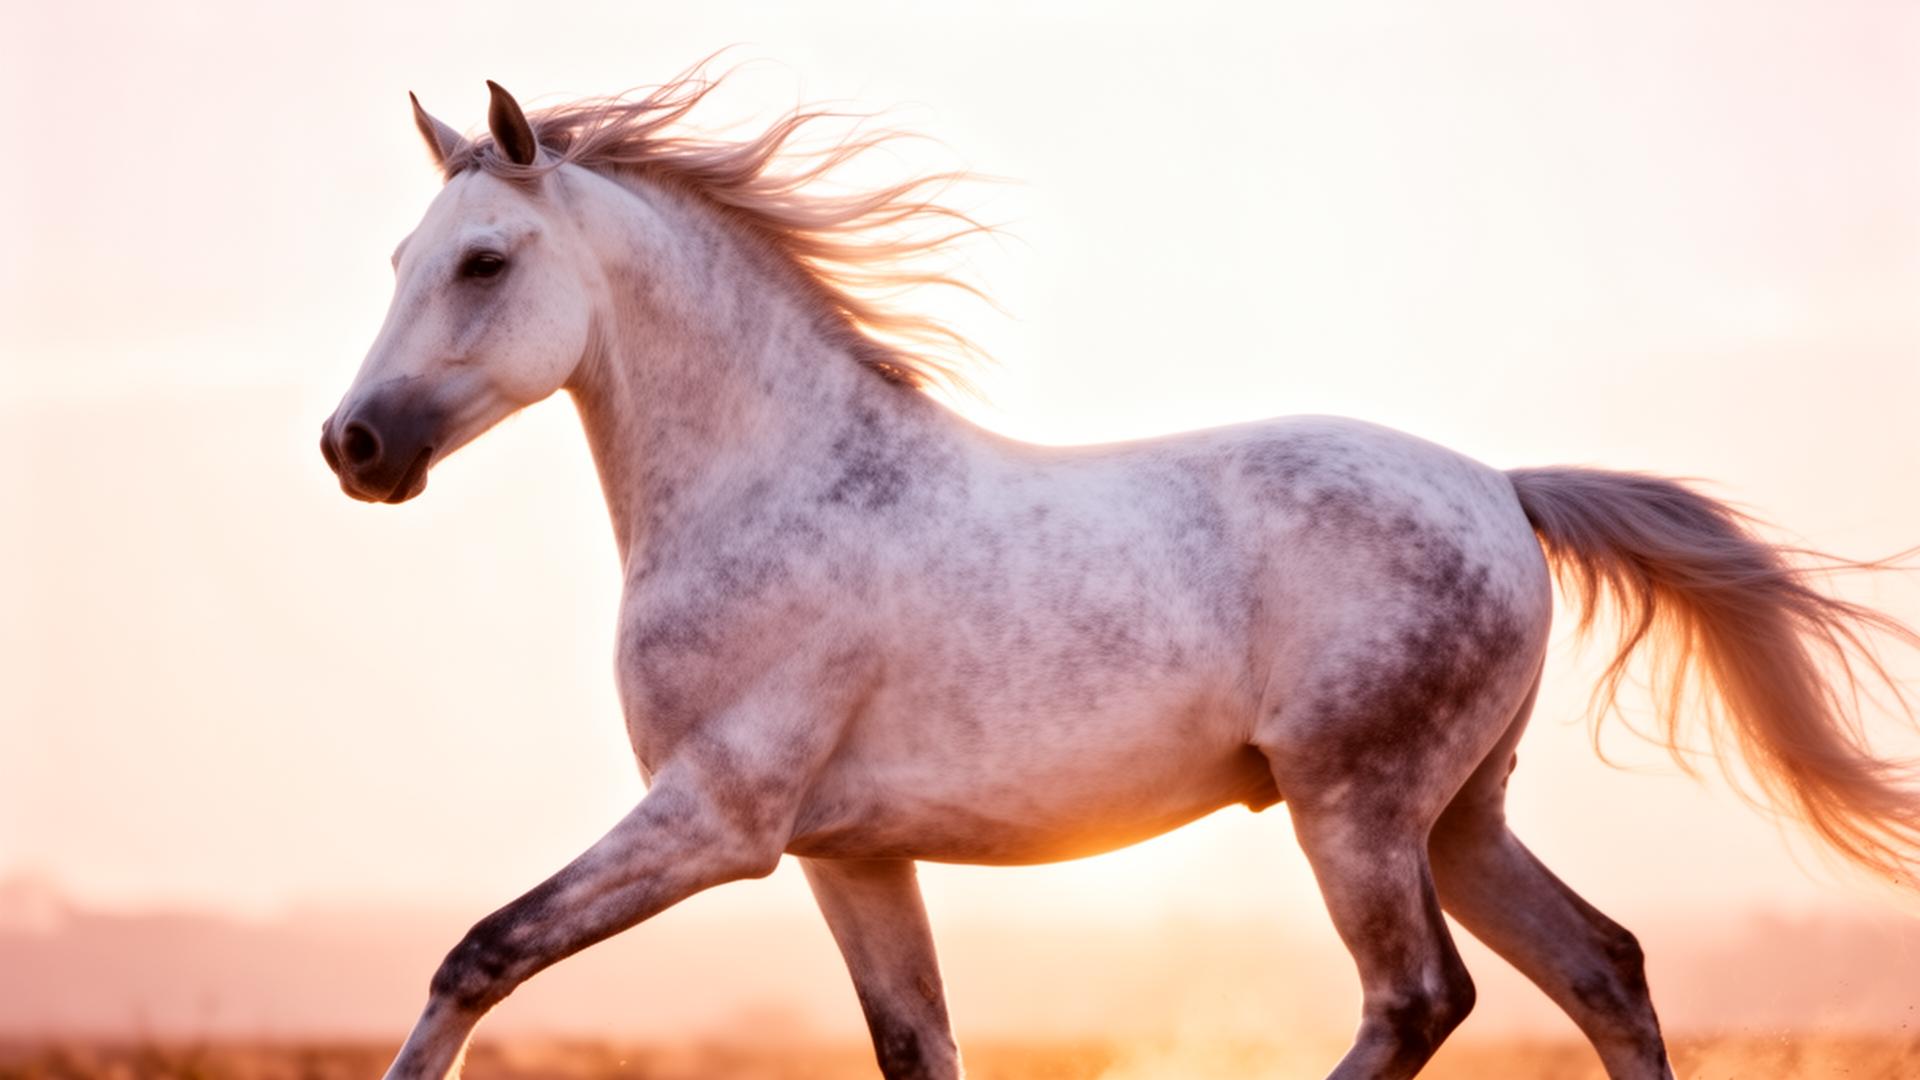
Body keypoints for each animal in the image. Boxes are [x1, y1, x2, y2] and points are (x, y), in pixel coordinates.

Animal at [318, 69, 1920, 1080]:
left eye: (481, 262)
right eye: (399, 256)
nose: (354, 446)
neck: (773, 484)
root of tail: (1501, 489)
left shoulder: (716, 818)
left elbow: (477, 955)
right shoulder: (848, 854)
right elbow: (918, 1046)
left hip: (1356, 805)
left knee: (1420, 999)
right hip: (1459, 815)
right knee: (1604, 969)